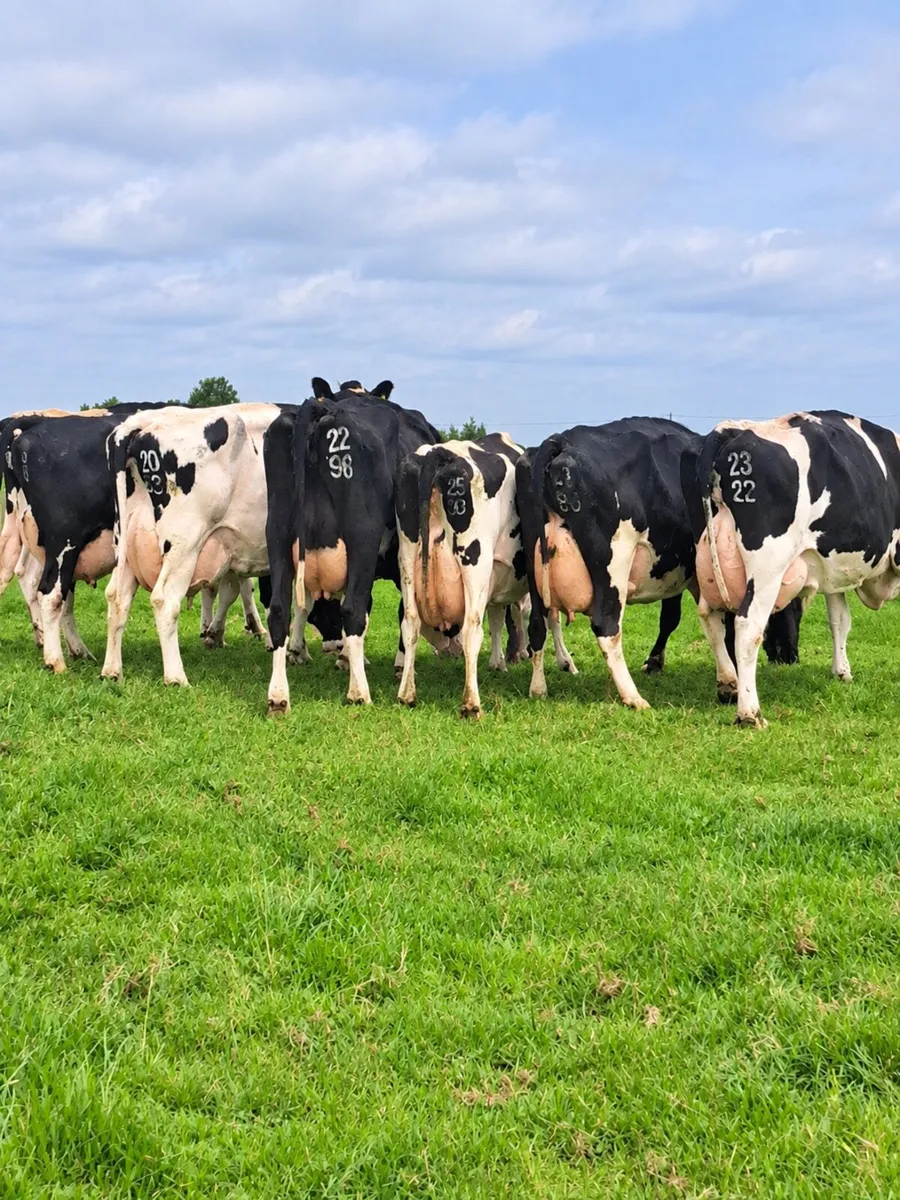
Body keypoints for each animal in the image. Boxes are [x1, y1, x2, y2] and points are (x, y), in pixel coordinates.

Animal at [264, 378, 442, 714]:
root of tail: (324, 410)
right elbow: (397, 609)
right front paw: (396, 664)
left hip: (277, 534)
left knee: (279, 609)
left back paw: (278, 697)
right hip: (362, 534)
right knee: (353, 611)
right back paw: (359, 692)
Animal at [394, 432, 577, 717]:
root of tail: (439, 453)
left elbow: (498, 617)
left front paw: (497, 662)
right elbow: (546, 618)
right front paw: (564, 661)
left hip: (407, 558)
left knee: (410, 622)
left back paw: (406, 694)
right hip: (475, 561)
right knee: (472, 628)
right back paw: (472, 703)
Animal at [691, 410, 900, 727]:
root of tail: (733, 429)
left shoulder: (832, 570)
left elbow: (840, 620)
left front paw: (842, 672)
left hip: (707, 560)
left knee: (710, 617)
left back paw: (729, 685)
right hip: (768, 562)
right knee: (747, 626)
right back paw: (750, 713)